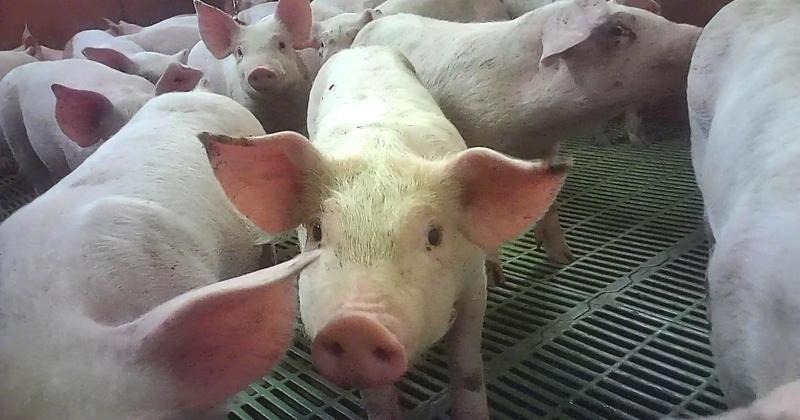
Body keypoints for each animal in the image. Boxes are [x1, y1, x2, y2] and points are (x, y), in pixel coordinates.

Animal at [200, 45, 568, 419]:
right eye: (316, 231)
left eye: (434, 235)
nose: (356, 327)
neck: (381, 150)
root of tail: (358, 48)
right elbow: (377, 397)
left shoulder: (472, 288)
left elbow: (467, 369)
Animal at [354, 0, 701, 264]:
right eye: (617, 30)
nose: (699, 33)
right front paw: (496, 275)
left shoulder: (546, 148)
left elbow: (549, 204)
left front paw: (565, 258)